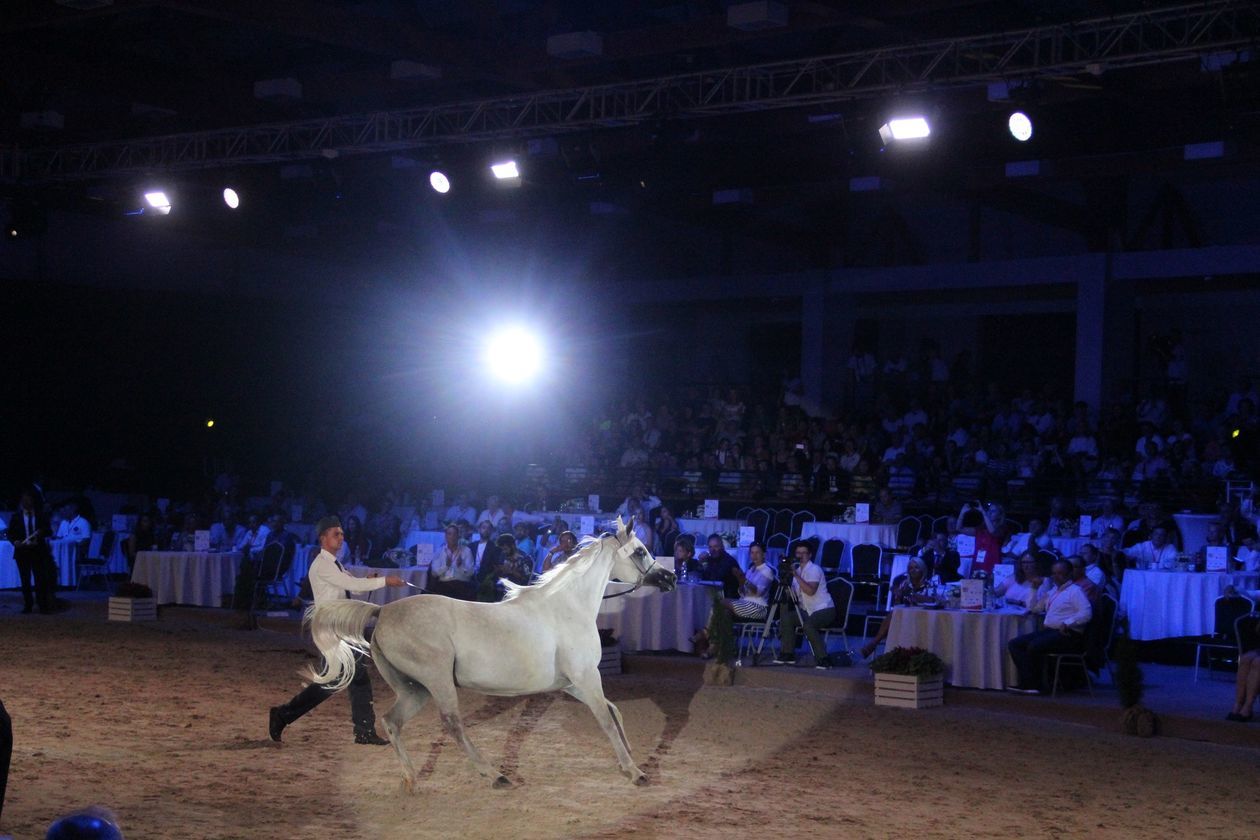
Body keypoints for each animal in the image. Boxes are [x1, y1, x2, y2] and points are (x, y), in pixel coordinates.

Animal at [303, 516, 675, 790]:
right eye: (640, 551)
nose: (670, 578)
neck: (567, 607)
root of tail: (383, 612)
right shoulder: (586, 678)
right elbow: (606, 720)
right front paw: (636, 772)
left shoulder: (573, 683)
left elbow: (614, 713)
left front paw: (630, 761)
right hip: (437, 681)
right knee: (452, 724)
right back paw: (495, 775)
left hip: (414, 689)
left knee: (392, 722)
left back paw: (411, 779)